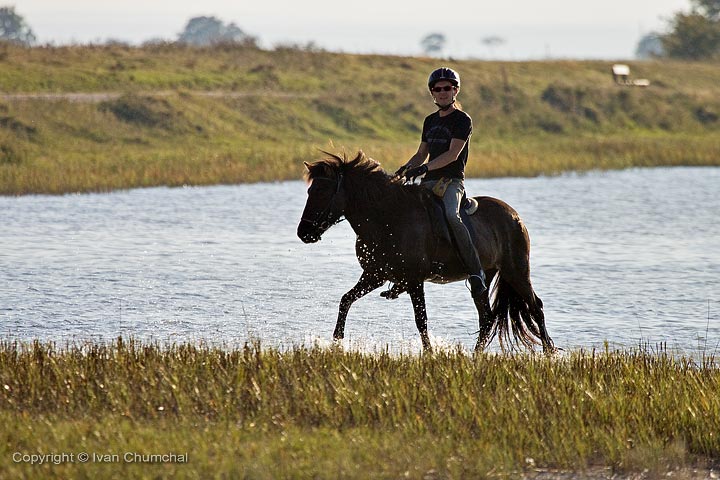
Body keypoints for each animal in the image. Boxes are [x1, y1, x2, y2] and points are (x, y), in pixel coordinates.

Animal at [296, 151, 556, 352]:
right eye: (309, 192)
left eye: (321, 192)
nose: (303, 233)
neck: (387, 217)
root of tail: (514, 216)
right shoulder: (375, 275)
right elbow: (345, 300)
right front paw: (337, 341)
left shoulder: (413, 280)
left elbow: (421, 320)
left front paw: (429, 353)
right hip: (485, 276)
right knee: (487, 317)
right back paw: (476, 356)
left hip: (516, 271)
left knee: (536, 306)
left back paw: (549, 352)